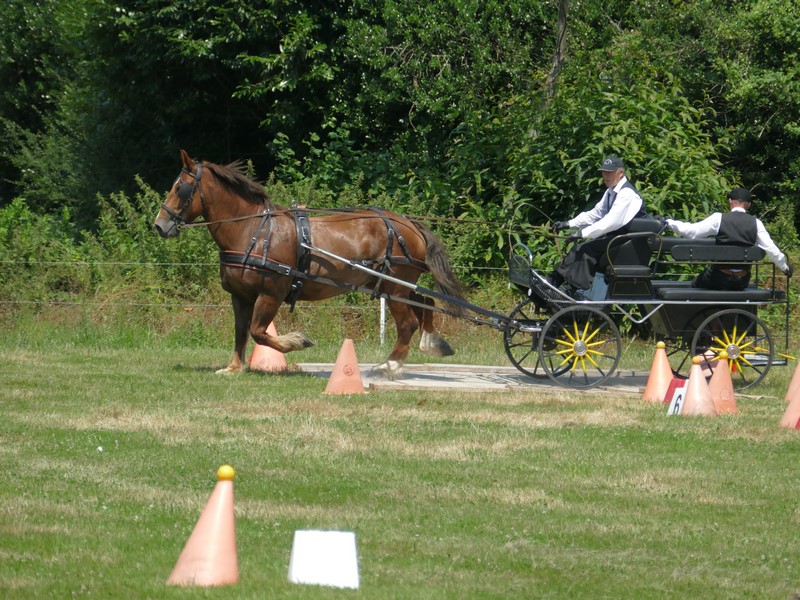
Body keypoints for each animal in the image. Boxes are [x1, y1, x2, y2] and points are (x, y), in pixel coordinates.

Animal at [153, 149, 466, 378]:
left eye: (181, 188)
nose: (159, 225)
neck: (253, 231)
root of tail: (409, 224)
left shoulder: (271, 293)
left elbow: (259, 332)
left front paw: (297, 341)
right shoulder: (240, 296)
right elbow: (241, 331)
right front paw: (233, 368)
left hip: (394, 287)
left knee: (408, 323)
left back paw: (390, 365)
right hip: (396, 286)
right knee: (425, 302)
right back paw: (432, 343)